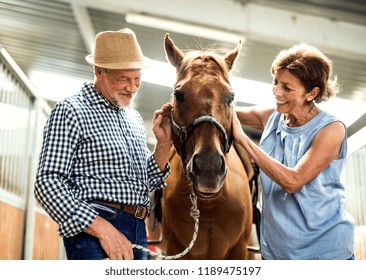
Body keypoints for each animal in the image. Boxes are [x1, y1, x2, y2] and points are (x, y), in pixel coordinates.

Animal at [153, 35, 253, 260]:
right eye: (178, 94)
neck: (209, 207)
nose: (209, 167)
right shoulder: (175, 249)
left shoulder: (239, 250)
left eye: (231, 97)